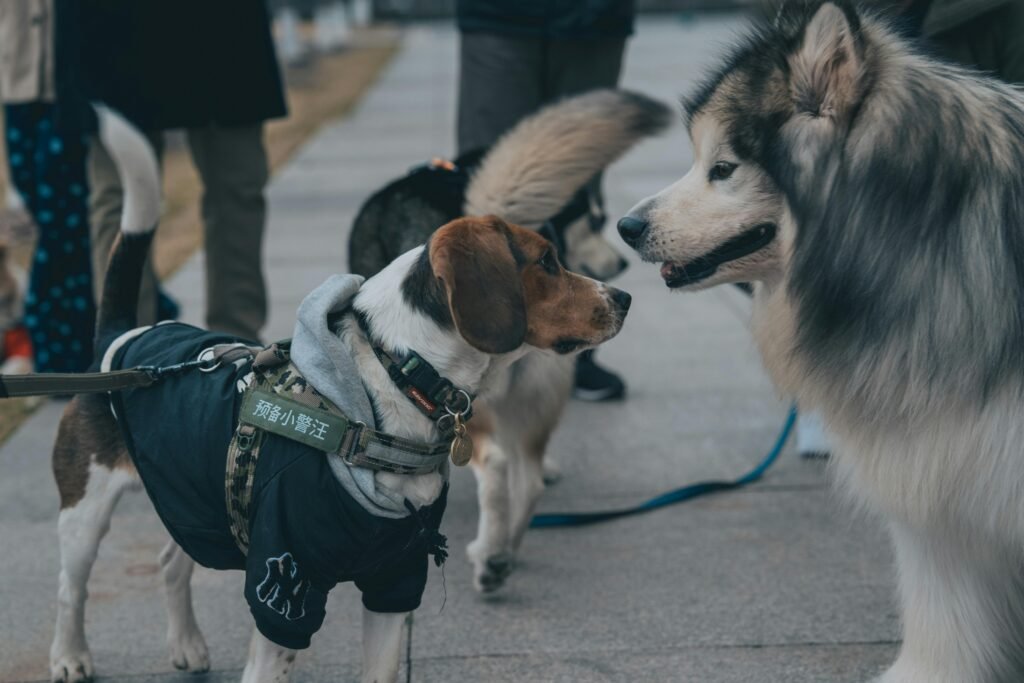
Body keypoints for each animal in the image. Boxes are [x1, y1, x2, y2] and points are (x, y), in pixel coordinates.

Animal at [352, 89, 671, 593]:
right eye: (593, 221)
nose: (623, 282)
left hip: (472, 407)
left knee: (499, 467)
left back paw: (488, 555)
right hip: (537, 388)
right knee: (529, 478)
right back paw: (505, 553)